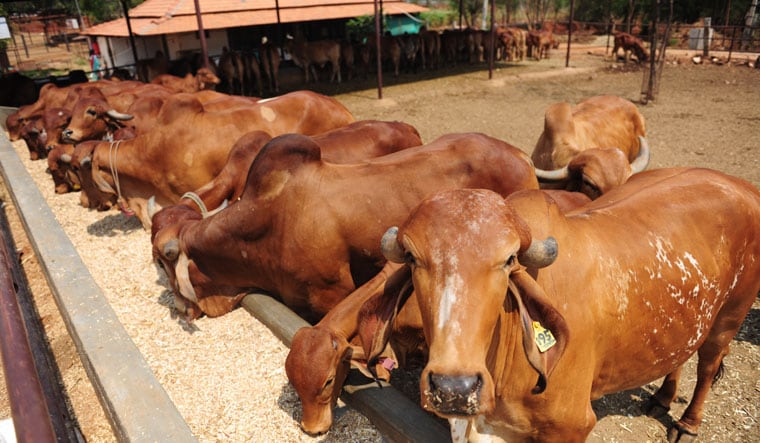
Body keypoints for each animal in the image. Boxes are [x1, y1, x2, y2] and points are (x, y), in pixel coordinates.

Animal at [363, 167, 760, 442]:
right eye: (412, 257)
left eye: (509, 260)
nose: (453, 388)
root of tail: (740, 185)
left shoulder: (571, 426)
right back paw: (662, 397)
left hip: (731, 314)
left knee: (708, 366)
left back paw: (687, 424)